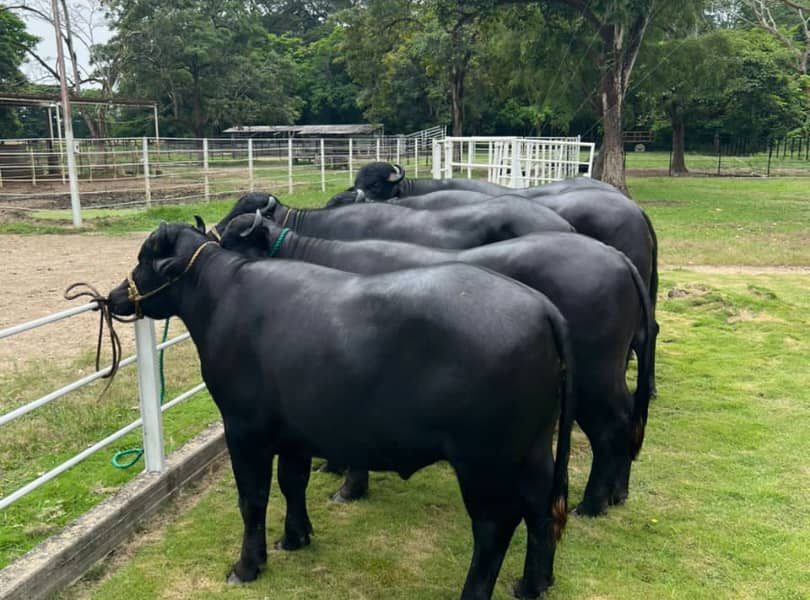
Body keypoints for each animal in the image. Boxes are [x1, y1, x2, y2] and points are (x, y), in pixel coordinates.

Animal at [107, 221, 576, 600]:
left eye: (144, 259)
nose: (113, 296)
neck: (221, 298)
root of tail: (541, 307)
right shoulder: (293, 433)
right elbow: (291, 482)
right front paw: (295, 537)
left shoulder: (244, 430)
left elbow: (253, 499)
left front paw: (247, 565)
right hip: (534, 450)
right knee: (540, 510)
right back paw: (533, 583)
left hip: (484, 462)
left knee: (495, 528)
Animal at [224, 212, 652, 516]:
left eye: (230, 239)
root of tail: (616, 257)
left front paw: (348, 486)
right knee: (630, 416)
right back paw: (618, 492)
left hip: (595, 379)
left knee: (612, 427)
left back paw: (592, 503)